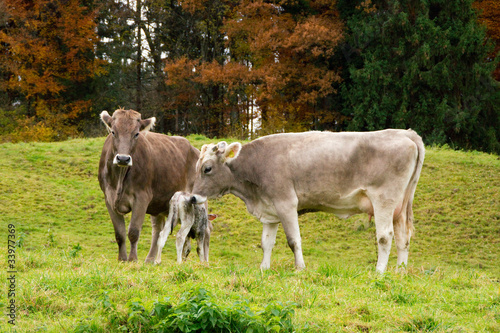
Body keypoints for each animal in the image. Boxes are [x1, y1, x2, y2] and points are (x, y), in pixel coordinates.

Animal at [97, 109, 199, 262]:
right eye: (113, 132)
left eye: (136, 134)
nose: (123, 158)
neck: (120, 176)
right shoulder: (109, 199)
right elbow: (119, 233)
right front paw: (122, 259)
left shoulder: (141, 197)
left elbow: (133, 231)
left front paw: (133, 259)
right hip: (159, 202)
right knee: (158, 230)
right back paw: (150, 259)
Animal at [189, 128, 424, 272]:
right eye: (196, 167)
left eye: (207, 168)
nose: (192, 197)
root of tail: (406, 133)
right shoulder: (270, 210)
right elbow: (266, 243)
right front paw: (264, 268)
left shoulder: (286, 203)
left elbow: (294, 240)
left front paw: (300, 268)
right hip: (401, 206)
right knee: (403, 237)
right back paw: (400, 271)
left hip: (384, 199)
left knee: (385, 236)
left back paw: (379, 271)